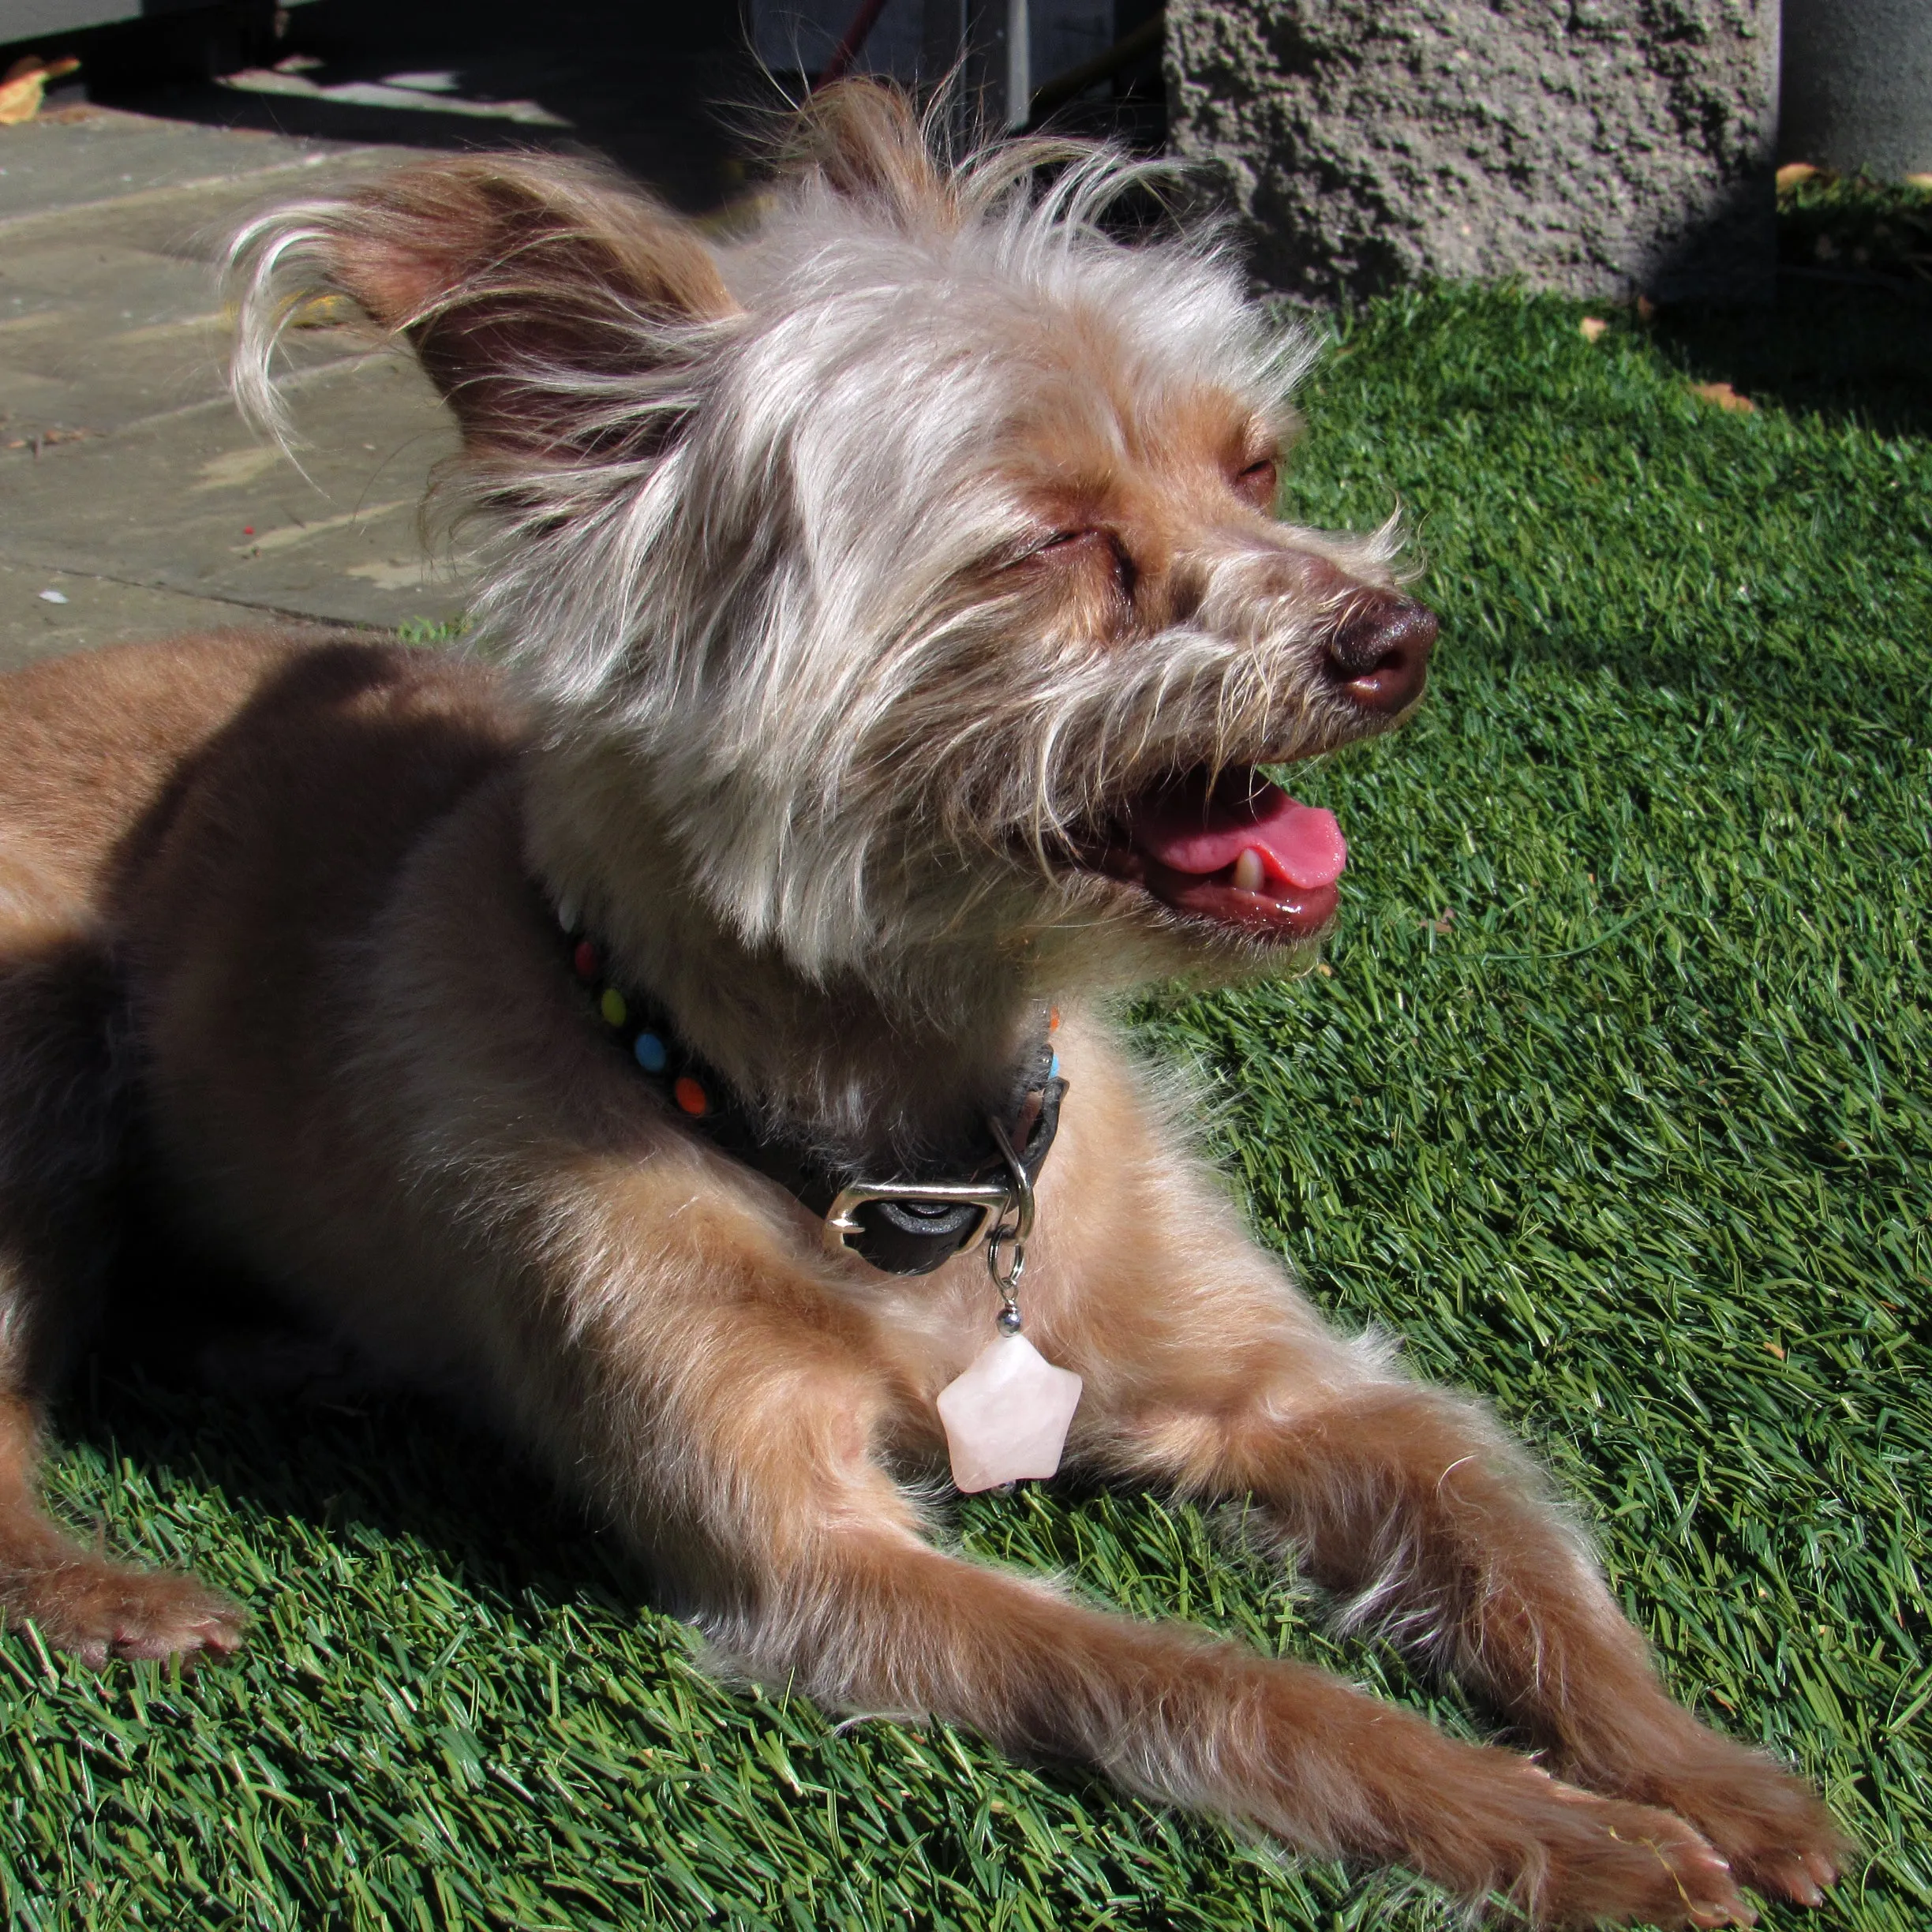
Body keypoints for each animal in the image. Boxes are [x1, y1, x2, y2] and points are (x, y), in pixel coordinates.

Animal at [0, 83, 1839, 1924]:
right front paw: (1554, 1830)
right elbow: (1216, 1687)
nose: (1397, 635)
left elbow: (1503, 1532)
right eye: (1054, 543)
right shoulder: (815, 1559)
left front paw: (1694, 1771)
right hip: (45, 1075)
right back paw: (113, 1592)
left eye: (1256, 468)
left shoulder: (1299, 1386)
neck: (911, 1151)